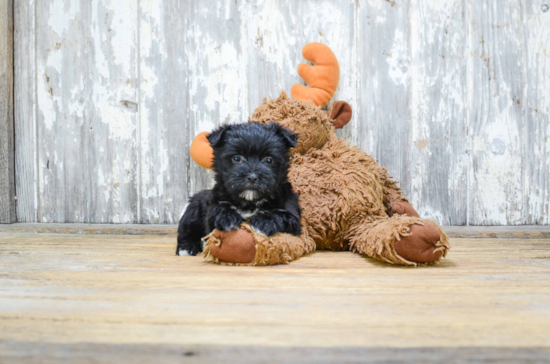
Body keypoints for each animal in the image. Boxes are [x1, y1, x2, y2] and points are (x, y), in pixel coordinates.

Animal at [178, 122, 302, 256]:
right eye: (237, 158)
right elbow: (217, 211)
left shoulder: (293, 218)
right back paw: (186, 249)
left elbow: (281, 215)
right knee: (186, 230)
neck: (249, 202)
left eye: (268, 160)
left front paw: (264, 222)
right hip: (194, 208)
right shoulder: (213, 208)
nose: (252, 177)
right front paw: (227, 217)